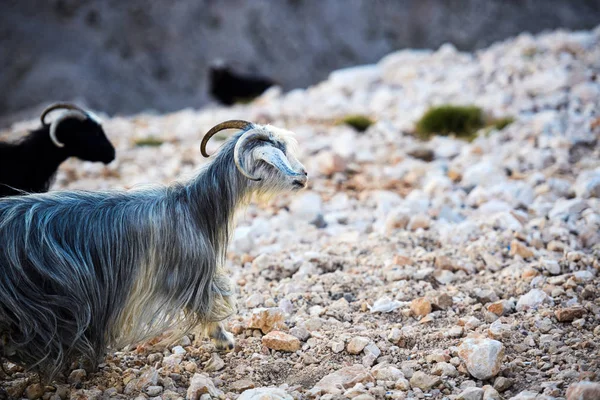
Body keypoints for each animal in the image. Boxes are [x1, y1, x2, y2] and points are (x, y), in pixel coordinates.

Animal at [0, 120, 308, 376]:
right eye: (274, 156)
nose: (303, 175)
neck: (195, 207)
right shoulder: (190, 270)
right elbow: (210, 302)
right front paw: (225, 342)